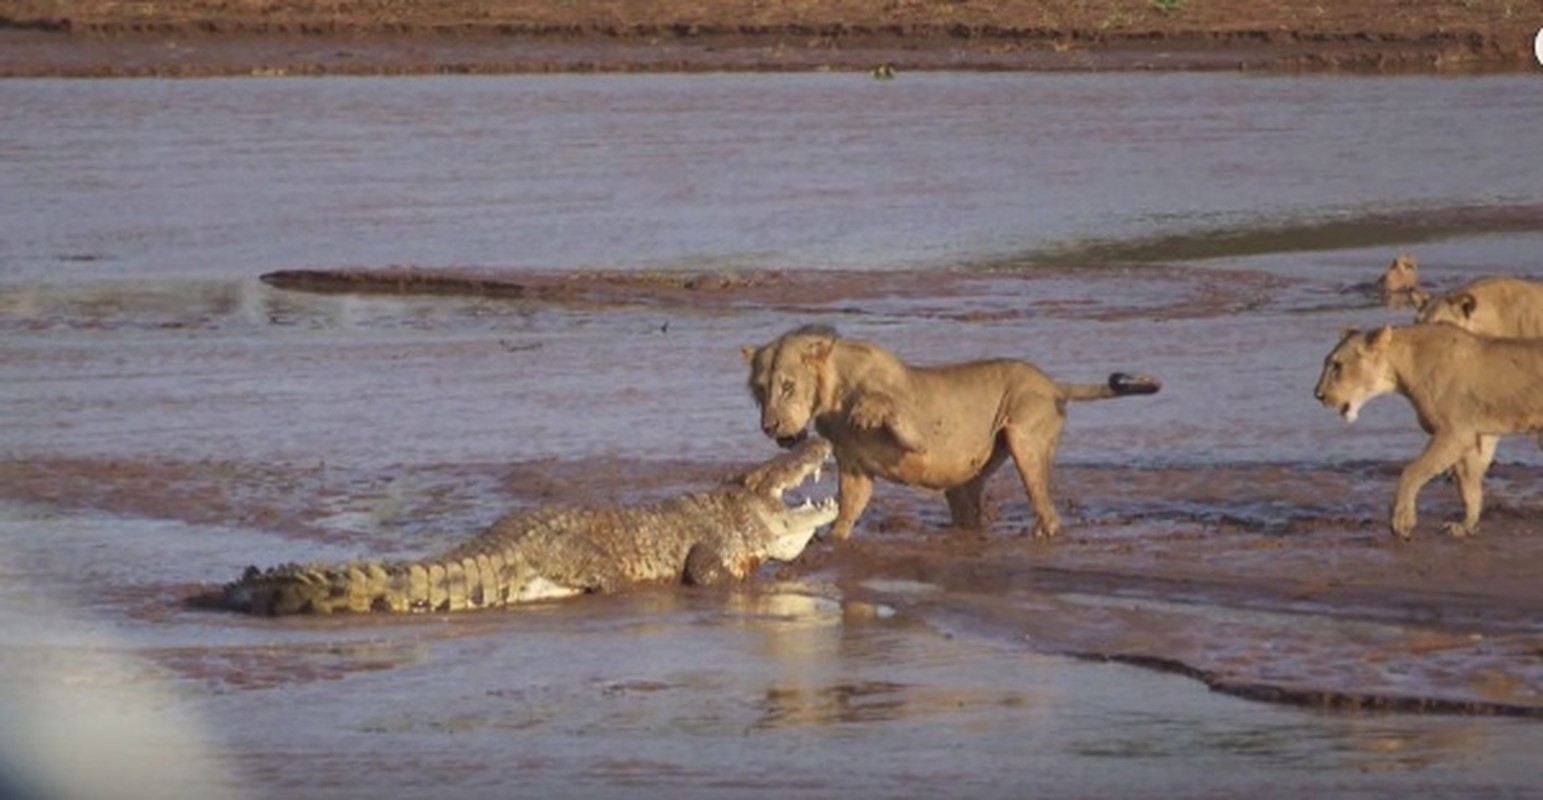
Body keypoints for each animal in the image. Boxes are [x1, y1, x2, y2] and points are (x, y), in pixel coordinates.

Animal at [743, 327, 1160, 546]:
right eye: (760, 390)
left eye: (787, 386)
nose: (769, 427)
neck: (831, 396)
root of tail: (1053, 383)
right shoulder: (855, 469)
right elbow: (847, 511)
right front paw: (834, 540)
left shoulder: (919, 434)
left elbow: (890, 409)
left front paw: (866, 410)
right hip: (967, 482)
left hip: (1024, 435)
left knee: (1048, 510)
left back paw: (1039, 533)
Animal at [1314, 324, 1543, 540]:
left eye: (1337, 366)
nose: (1317, 395)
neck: (1401, 370)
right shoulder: (1475, 435)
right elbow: (1469, 487)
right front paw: (1465, 526)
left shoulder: (1455, 432)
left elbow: (1412, 471)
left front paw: (1401, 520)